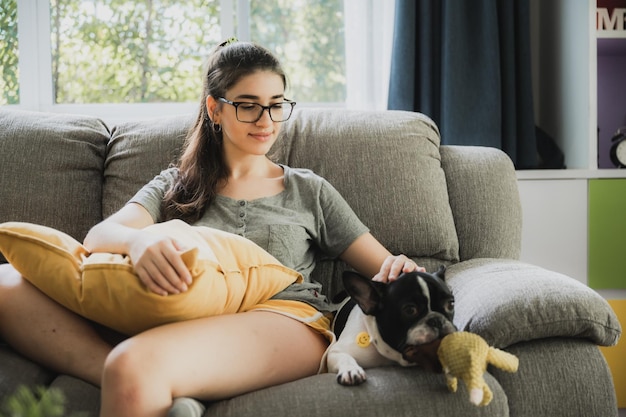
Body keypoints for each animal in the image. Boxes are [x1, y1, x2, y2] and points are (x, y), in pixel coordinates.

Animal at [326, 266, 454, 384]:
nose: (437, 320)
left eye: (451, 304)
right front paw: (351, 370)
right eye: (410, 310)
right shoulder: (336, 351)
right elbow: (344, 357)